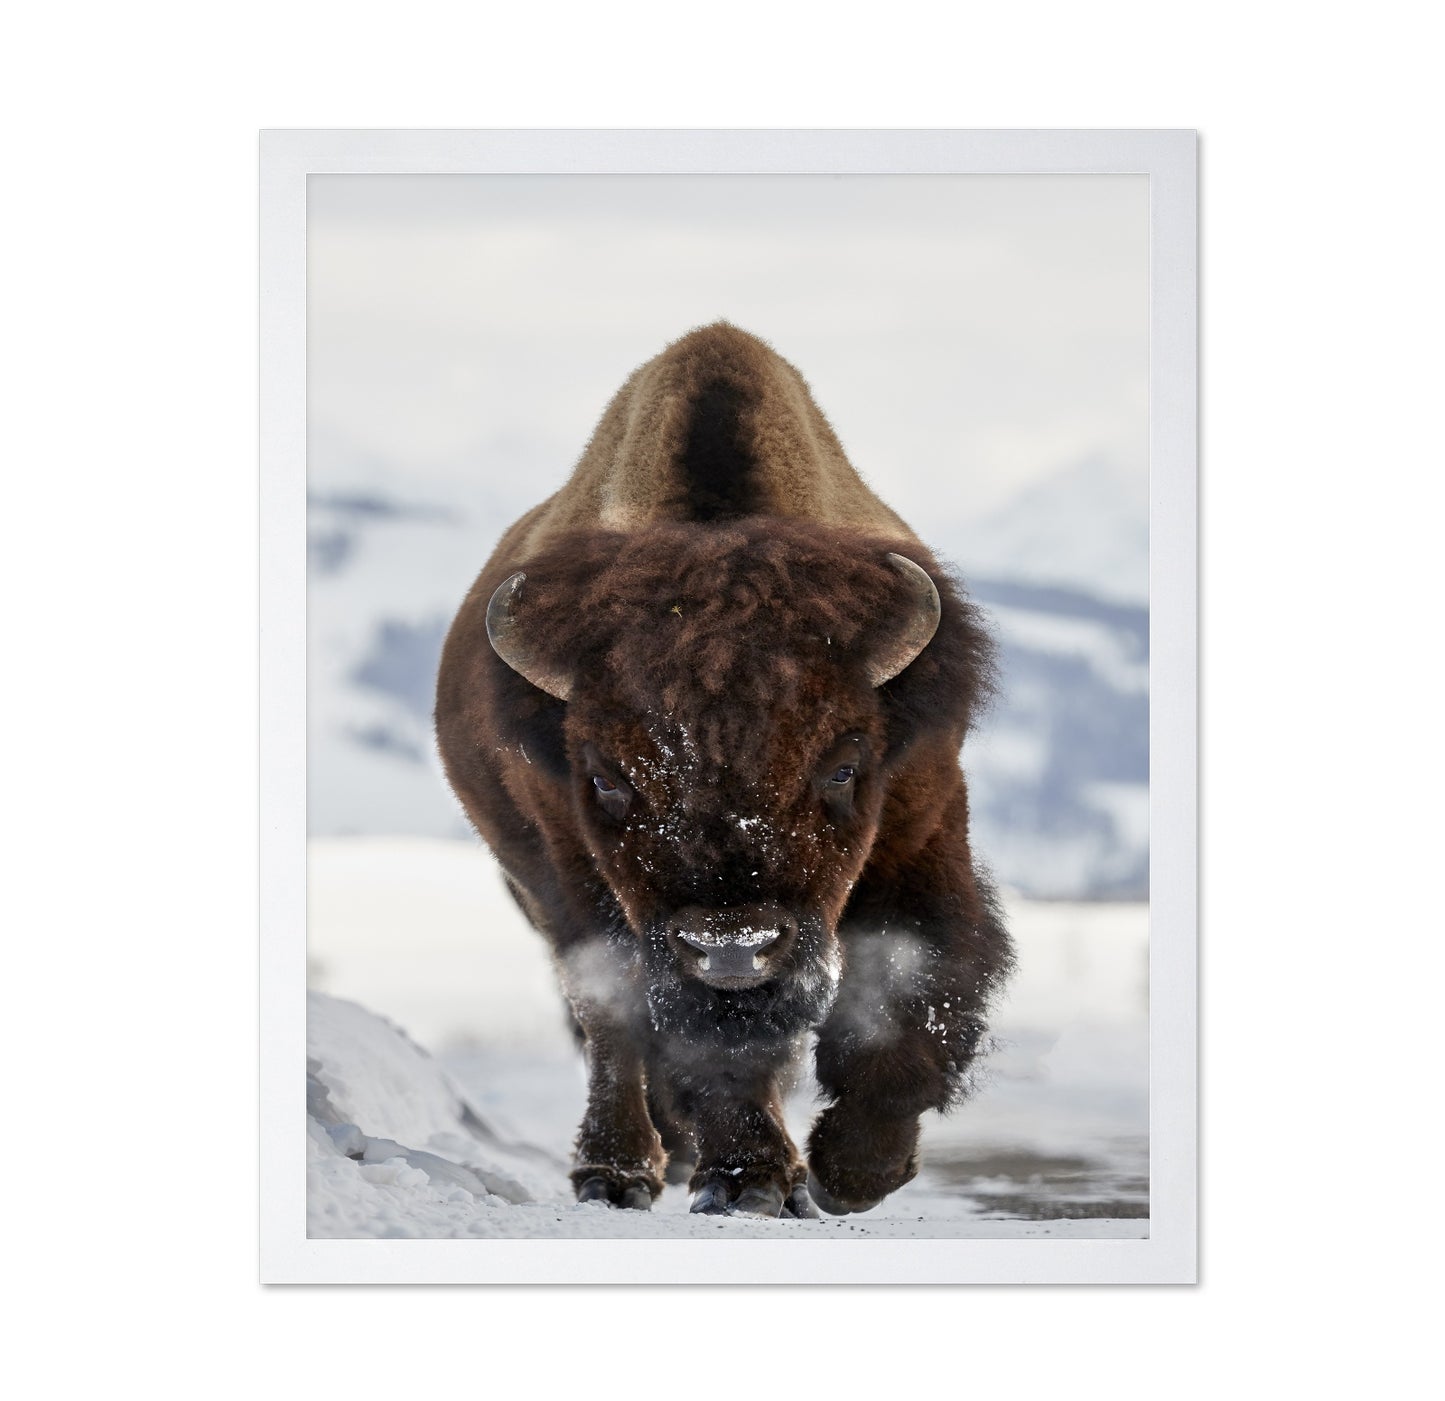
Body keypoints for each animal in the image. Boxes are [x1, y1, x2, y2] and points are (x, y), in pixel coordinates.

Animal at [436, 323, 1013, 1218]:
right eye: (606, 778)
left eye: (844, 765)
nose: (733, 948)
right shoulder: (579, 872)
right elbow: (676, 1033)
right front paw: (748, 1179)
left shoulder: (921, 824)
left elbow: (913, 980)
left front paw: (853, 1170)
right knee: (610, 1023)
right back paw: (619, 1171)